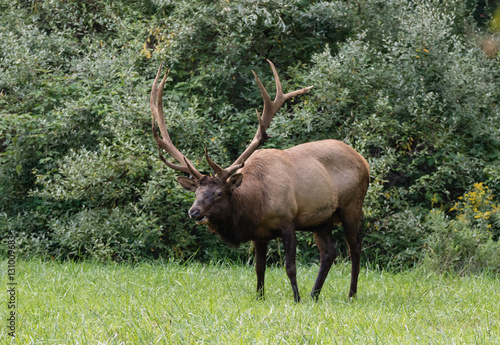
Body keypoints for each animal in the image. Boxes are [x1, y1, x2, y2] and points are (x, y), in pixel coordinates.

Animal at [150, 59, 370, 300]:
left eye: (219, 193)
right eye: (196, 193)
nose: (194, 212)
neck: (256, 202)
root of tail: (364, 161)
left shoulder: (288, 221)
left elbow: (290, 266)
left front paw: (296, 298)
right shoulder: (259, 233)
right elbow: (259, 267)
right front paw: (260, 297)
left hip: (352, 206)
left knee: (355, 249)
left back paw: (350, 295)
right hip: (322, 220)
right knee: (329, 253)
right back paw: (314, 295)